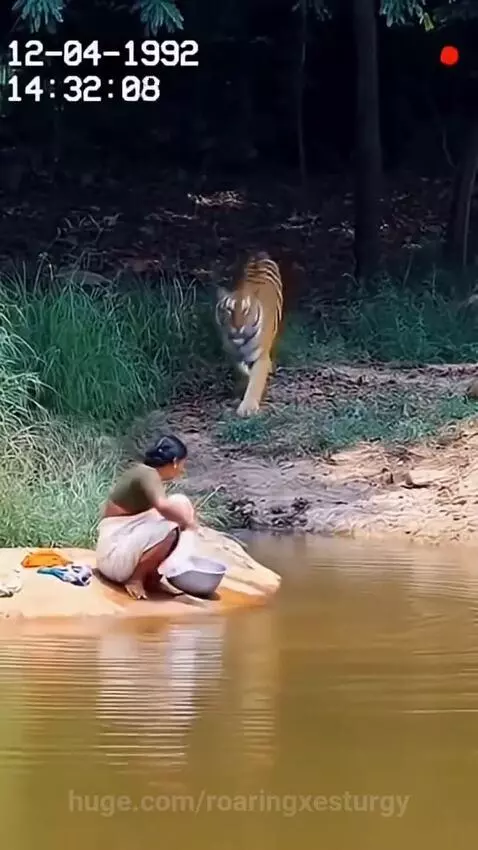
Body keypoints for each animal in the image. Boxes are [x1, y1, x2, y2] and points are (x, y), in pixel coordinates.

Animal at [215, 251, 284, 417]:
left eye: (246, 310)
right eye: (229, 309)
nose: (238, 327)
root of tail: (258, 254)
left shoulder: (260, 356)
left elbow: (255, 380)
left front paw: (248, 408)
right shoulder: (232, 352)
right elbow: (242, 371)